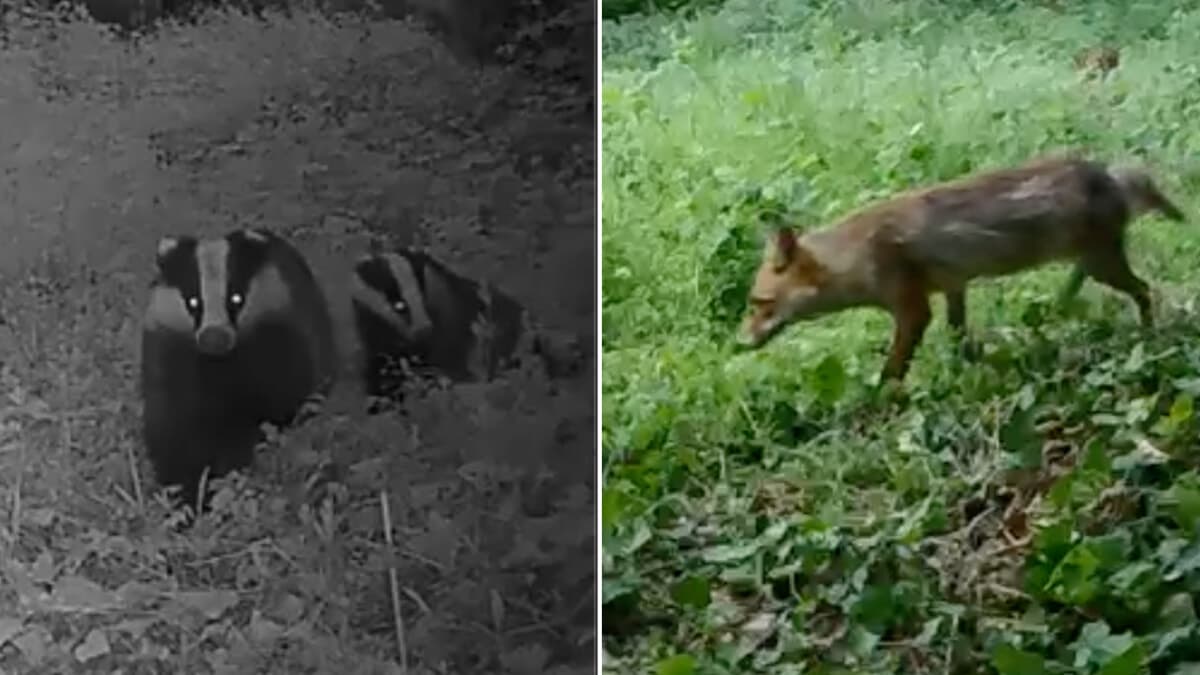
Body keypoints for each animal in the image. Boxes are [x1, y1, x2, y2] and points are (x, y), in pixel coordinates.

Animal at [736, 154, 1186, 384]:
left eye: (759, 303)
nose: (739, 345)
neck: (857, 255)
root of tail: (1106, 172)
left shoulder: (912, 308)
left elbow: (891, 372)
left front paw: (880, 402)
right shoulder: (953, 287)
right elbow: (959, 339)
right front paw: (972, 368)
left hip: (1103, 265)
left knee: (1146, 291)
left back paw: (1148, 336)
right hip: (1091, 263)